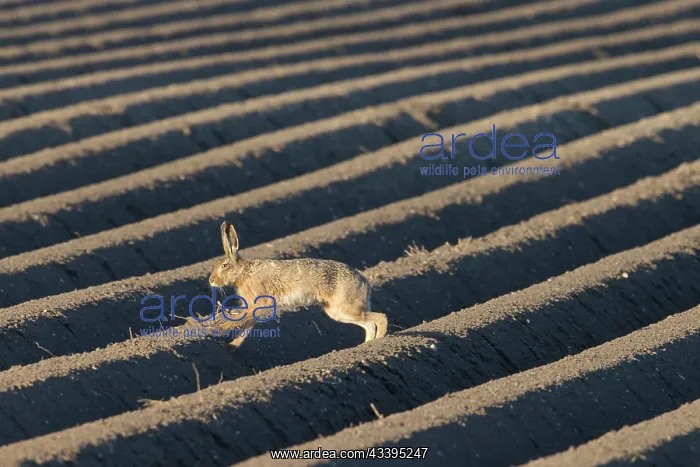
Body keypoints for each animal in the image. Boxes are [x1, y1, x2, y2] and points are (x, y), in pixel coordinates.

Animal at [208, 220, 388, 348]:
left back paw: (378, 342)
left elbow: (238, 319)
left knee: (380, 318)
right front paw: (231, 346)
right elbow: (246, 327)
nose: (211, 280)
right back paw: (366, 345)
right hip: (337, 312)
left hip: (345, 308)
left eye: (224, 266)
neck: (243, 272)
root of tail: (364, 282)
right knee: (368, 324)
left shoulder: (257, 302)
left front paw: (216, 329)